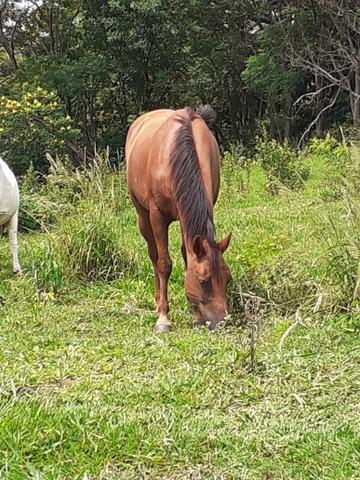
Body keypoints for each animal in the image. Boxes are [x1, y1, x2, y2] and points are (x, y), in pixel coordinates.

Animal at [126, 108, 232, 334]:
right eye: (203, 281)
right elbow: (164, 263)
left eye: (228, 278)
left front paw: (196, 316)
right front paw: (163, 319)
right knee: (153, 255)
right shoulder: (157, 215)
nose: (222, 322)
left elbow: (187, 257)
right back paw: (158, 301)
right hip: (142, 215)